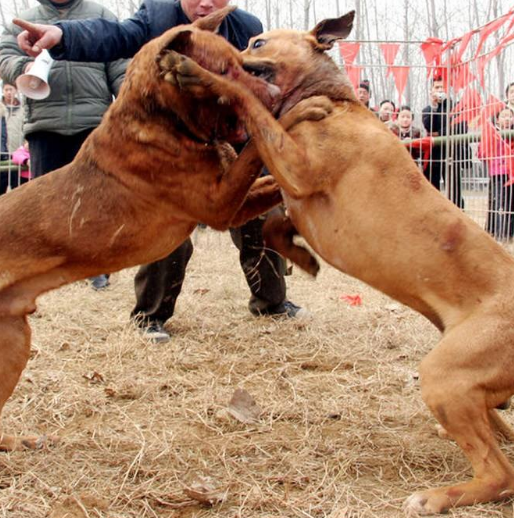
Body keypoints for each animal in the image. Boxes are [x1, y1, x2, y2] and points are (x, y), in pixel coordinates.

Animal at [165, 10, 514, 516]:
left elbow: (250, 103)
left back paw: (437, 496)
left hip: (445, 375)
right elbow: (273, 226)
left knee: (499, 473)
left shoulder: (297, 165)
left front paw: (201, 75)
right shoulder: (290, 188)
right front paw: (301, 259)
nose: (212, 47)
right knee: (497, 430)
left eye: (257, 42)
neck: (333, 99)